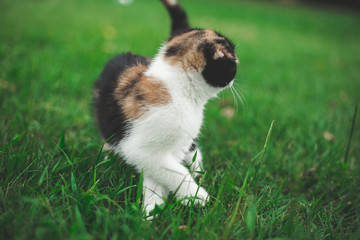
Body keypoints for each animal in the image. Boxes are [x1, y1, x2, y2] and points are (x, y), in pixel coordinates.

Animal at [93, 0, 239, 218]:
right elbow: (171, 171)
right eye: (233, 65)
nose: (233, 80)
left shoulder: (175, 145)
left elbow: (164, 172)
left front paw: (154, 209)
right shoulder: (140, 148)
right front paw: (193, 197)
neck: (181, 91)